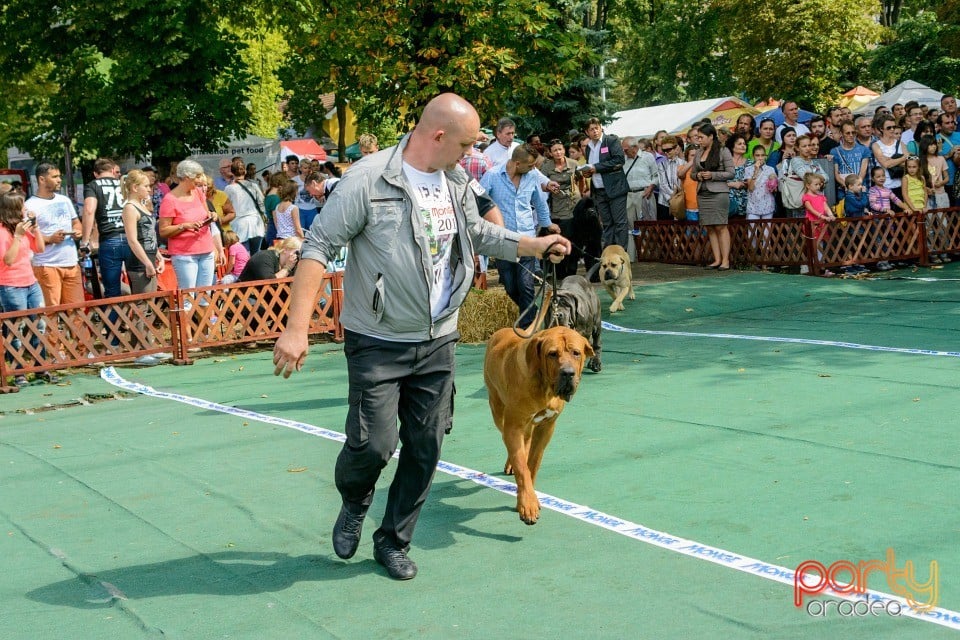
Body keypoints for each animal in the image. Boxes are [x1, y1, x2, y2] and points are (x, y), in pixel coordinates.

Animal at [488, 324, 592, 524]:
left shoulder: (547, 427)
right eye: (552, 354)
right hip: (498, 411)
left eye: (576, 353)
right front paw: (527, 503)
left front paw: (528, 495)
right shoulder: (513, 427)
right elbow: (522, 467)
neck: (545, 387)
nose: (568, 373)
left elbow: (533, 463)